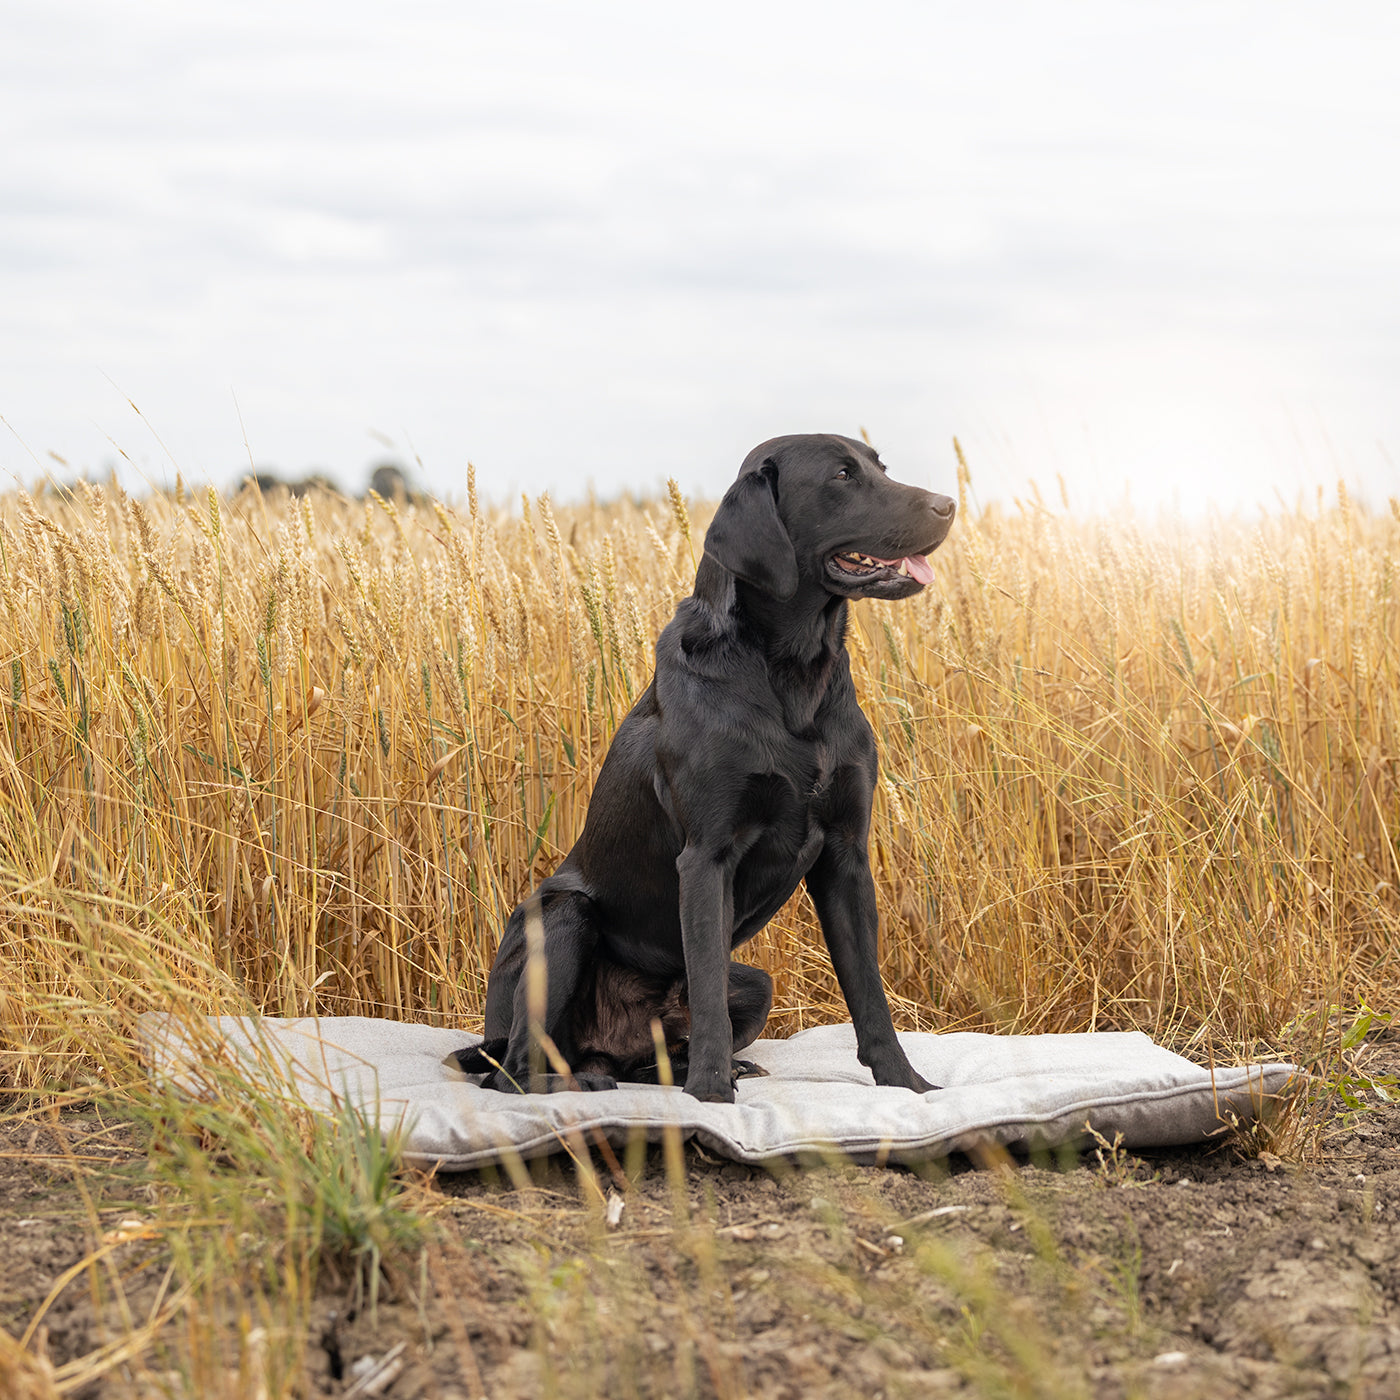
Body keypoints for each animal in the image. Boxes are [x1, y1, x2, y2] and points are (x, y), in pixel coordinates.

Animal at [453, 431, 957, 1097]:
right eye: (842, 476)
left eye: (880, 467)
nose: (949, 505)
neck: (793, 673)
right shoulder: (707, 856)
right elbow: (710, 992)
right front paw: (714, 1096)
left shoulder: (847, 855)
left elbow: (869, 994)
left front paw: (908, 1085)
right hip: (560, 918)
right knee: (515, 1068)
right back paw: (587, 1084)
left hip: (758, 982)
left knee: (647, 1055)